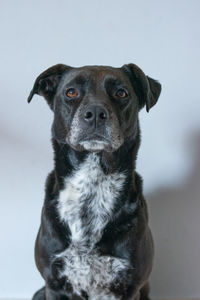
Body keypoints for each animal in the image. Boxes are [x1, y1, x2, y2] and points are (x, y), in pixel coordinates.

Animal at [27, 62, 162, 298]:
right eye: (71, 92)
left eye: (121, 93)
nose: (96, 113)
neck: (93, 183)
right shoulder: (53, 284)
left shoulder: (130, 287)